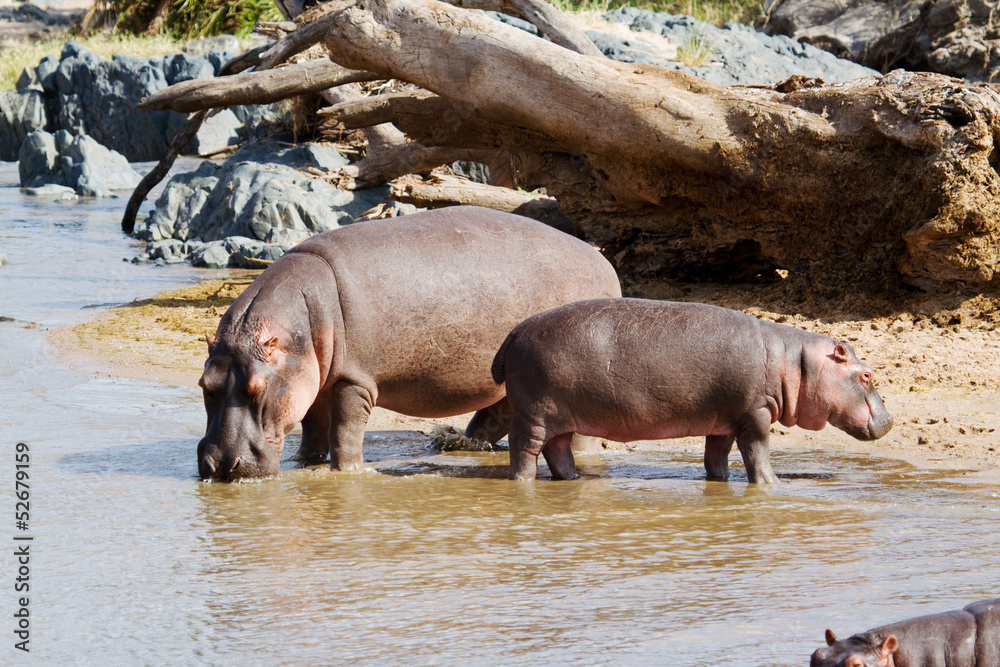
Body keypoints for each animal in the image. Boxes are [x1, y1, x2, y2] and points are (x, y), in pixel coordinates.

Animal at [194, 206, 616, 482]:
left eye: (257, 387)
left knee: (577, 431)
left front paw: (346, 473)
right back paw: (466, 446)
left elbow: (344, 431)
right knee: (499, 412)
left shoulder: (354, 381)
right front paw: (307, 463)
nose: (220, 467)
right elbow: (313, 426)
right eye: (205, 385)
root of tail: (604, 262)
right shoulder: (313, 380)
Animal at [496, 300, 896, 482]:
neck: (796, 363)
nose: (891, 420)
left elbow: (716, 456)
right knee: (524, 448)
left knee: (557, 450)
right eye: (866, 375)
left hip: (559, 417)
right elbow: (758, 452)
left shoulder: (725, 420)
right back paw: (522, 483)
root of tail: (511, 335)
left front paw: (720, 482)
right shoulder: (755, 414)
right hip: (535, 413)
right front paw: (772, 484)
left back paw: (573, 479)